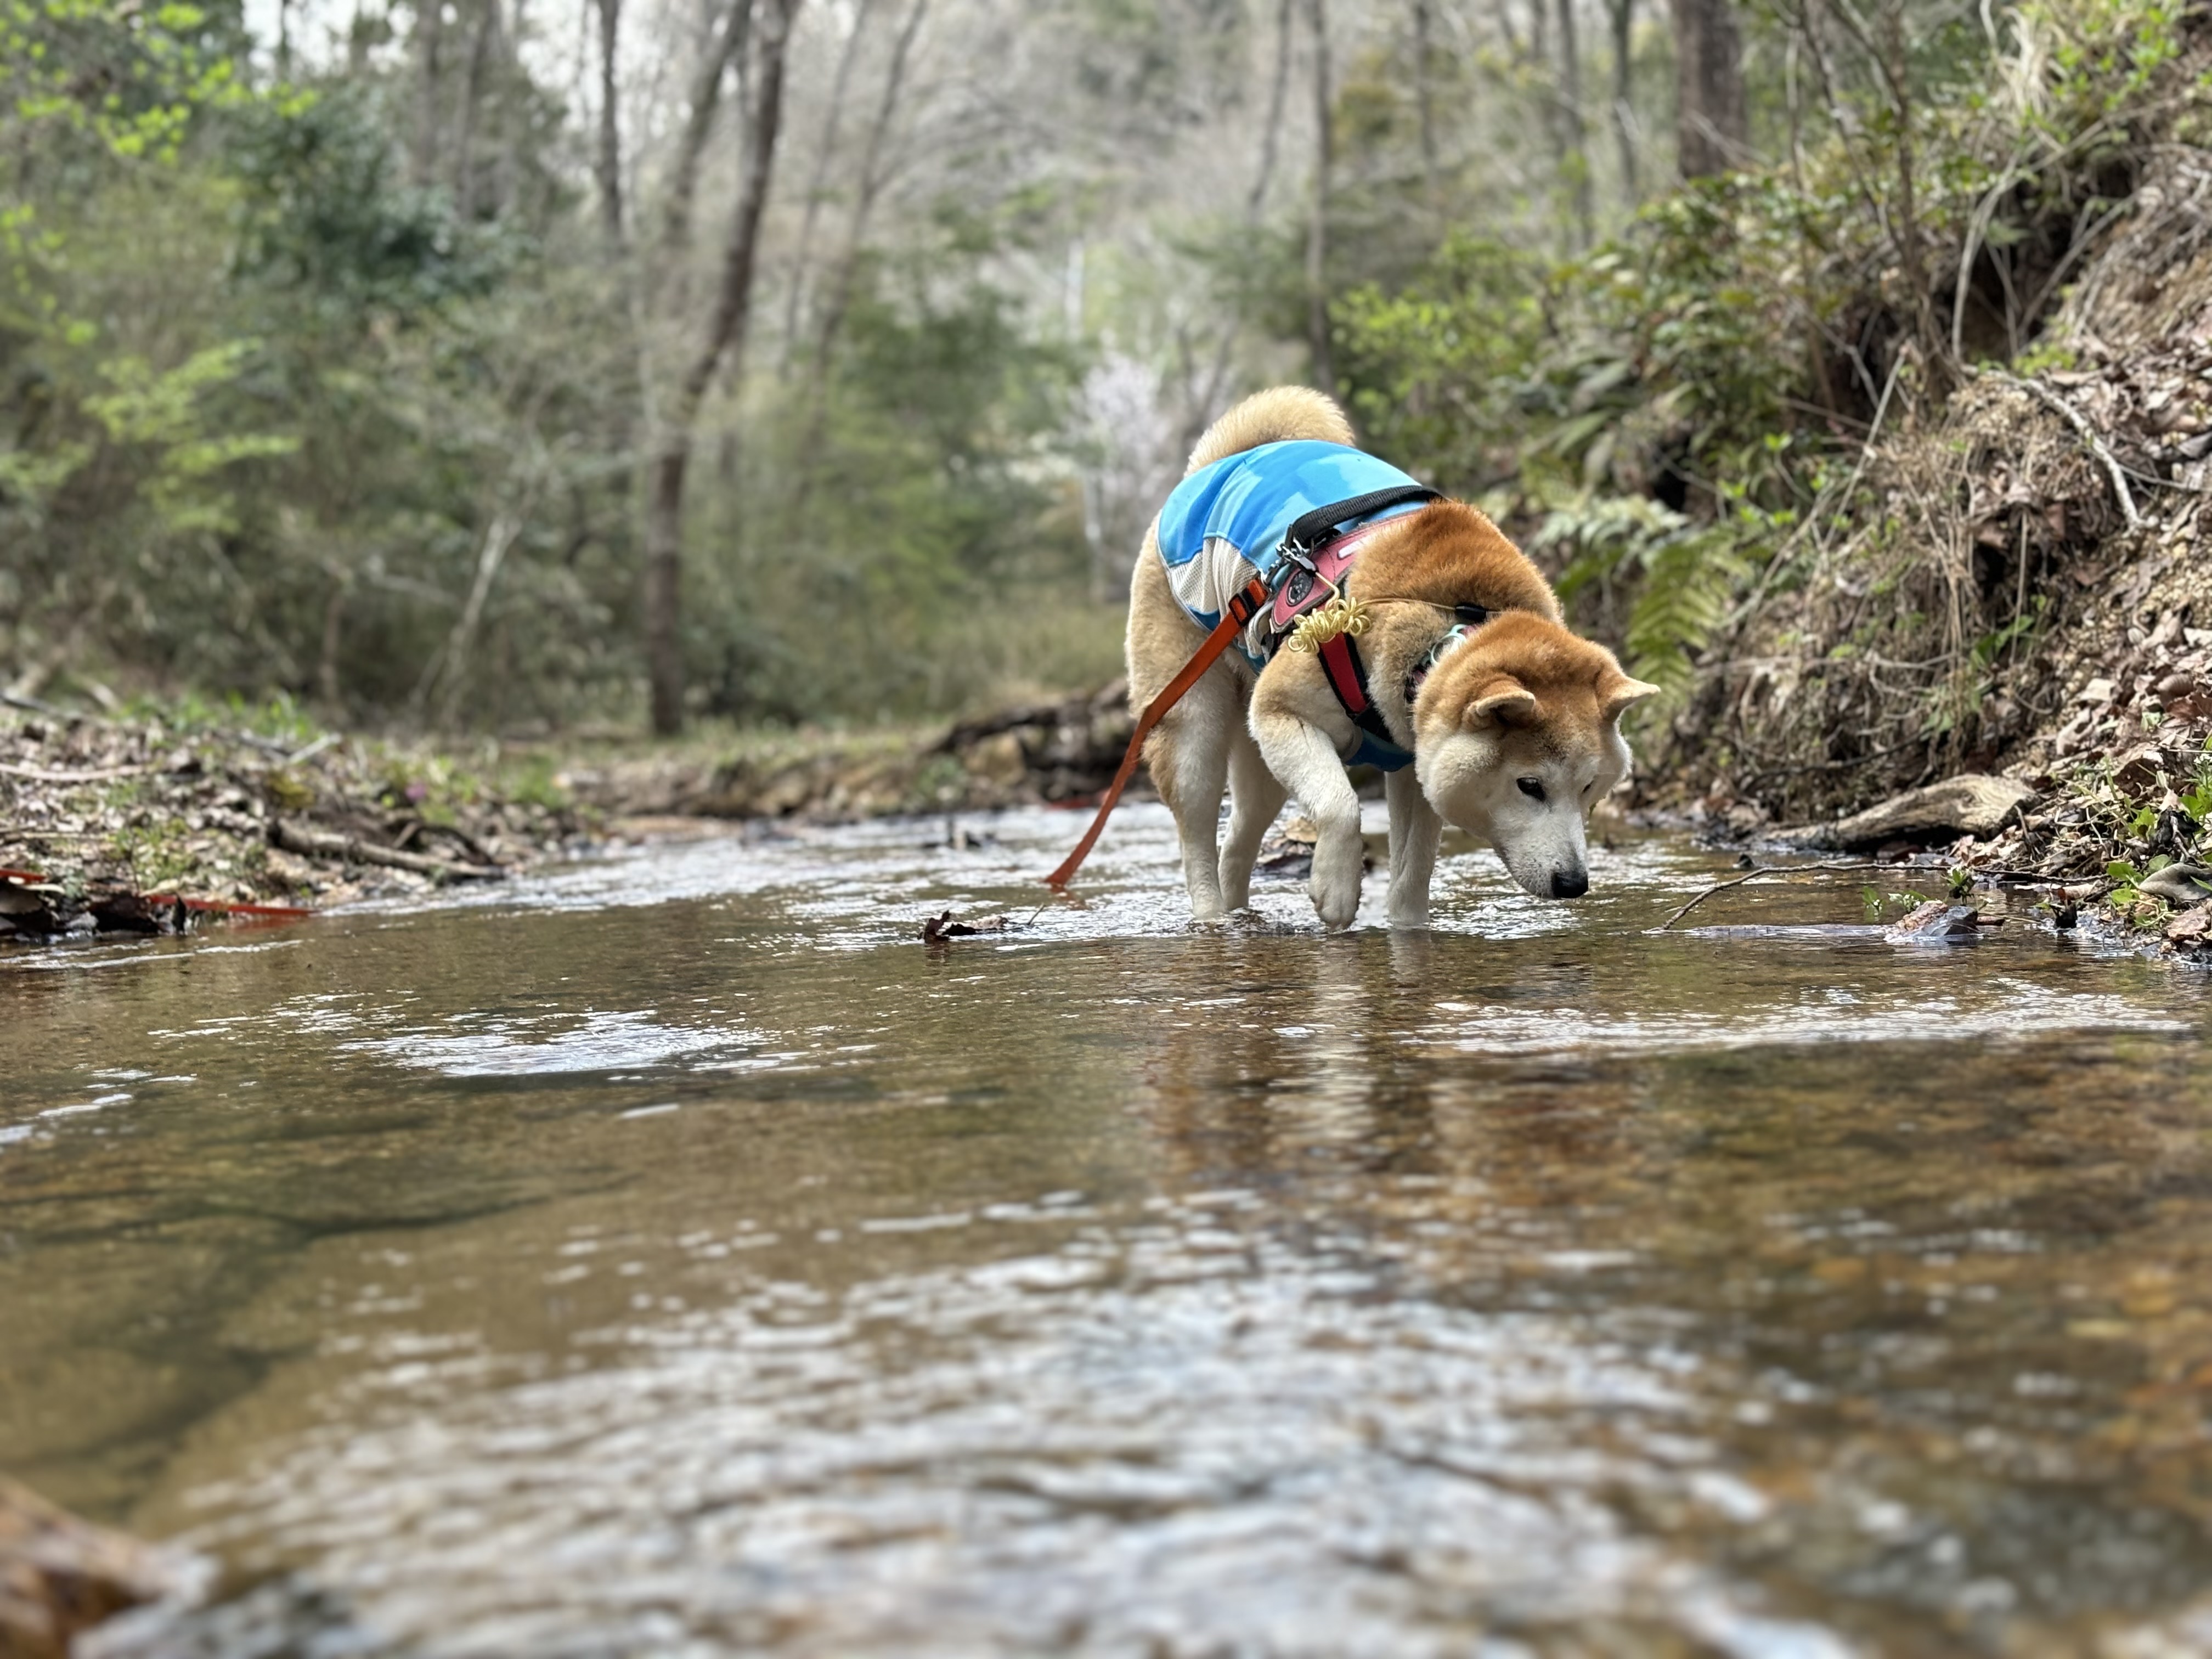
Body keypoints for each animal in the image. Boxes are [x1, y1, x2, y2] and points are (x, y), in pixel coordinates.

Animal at [1124, 391, 1663, 938]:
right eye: (1530, 786)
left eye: (1589, 787)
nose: (1574, 883)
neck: (1452, 620)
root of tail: (1232, 457)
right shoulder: (1280, 711)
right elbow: (1342, 806)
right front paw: (1337, 891)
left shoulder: (1416, 757)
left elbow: (1413, 871)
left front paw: (1408, 932)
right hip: (1194, 727)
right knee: (1198, 833)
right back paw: (1213, 917)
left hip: (1262, 766)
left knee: (1238, 842)